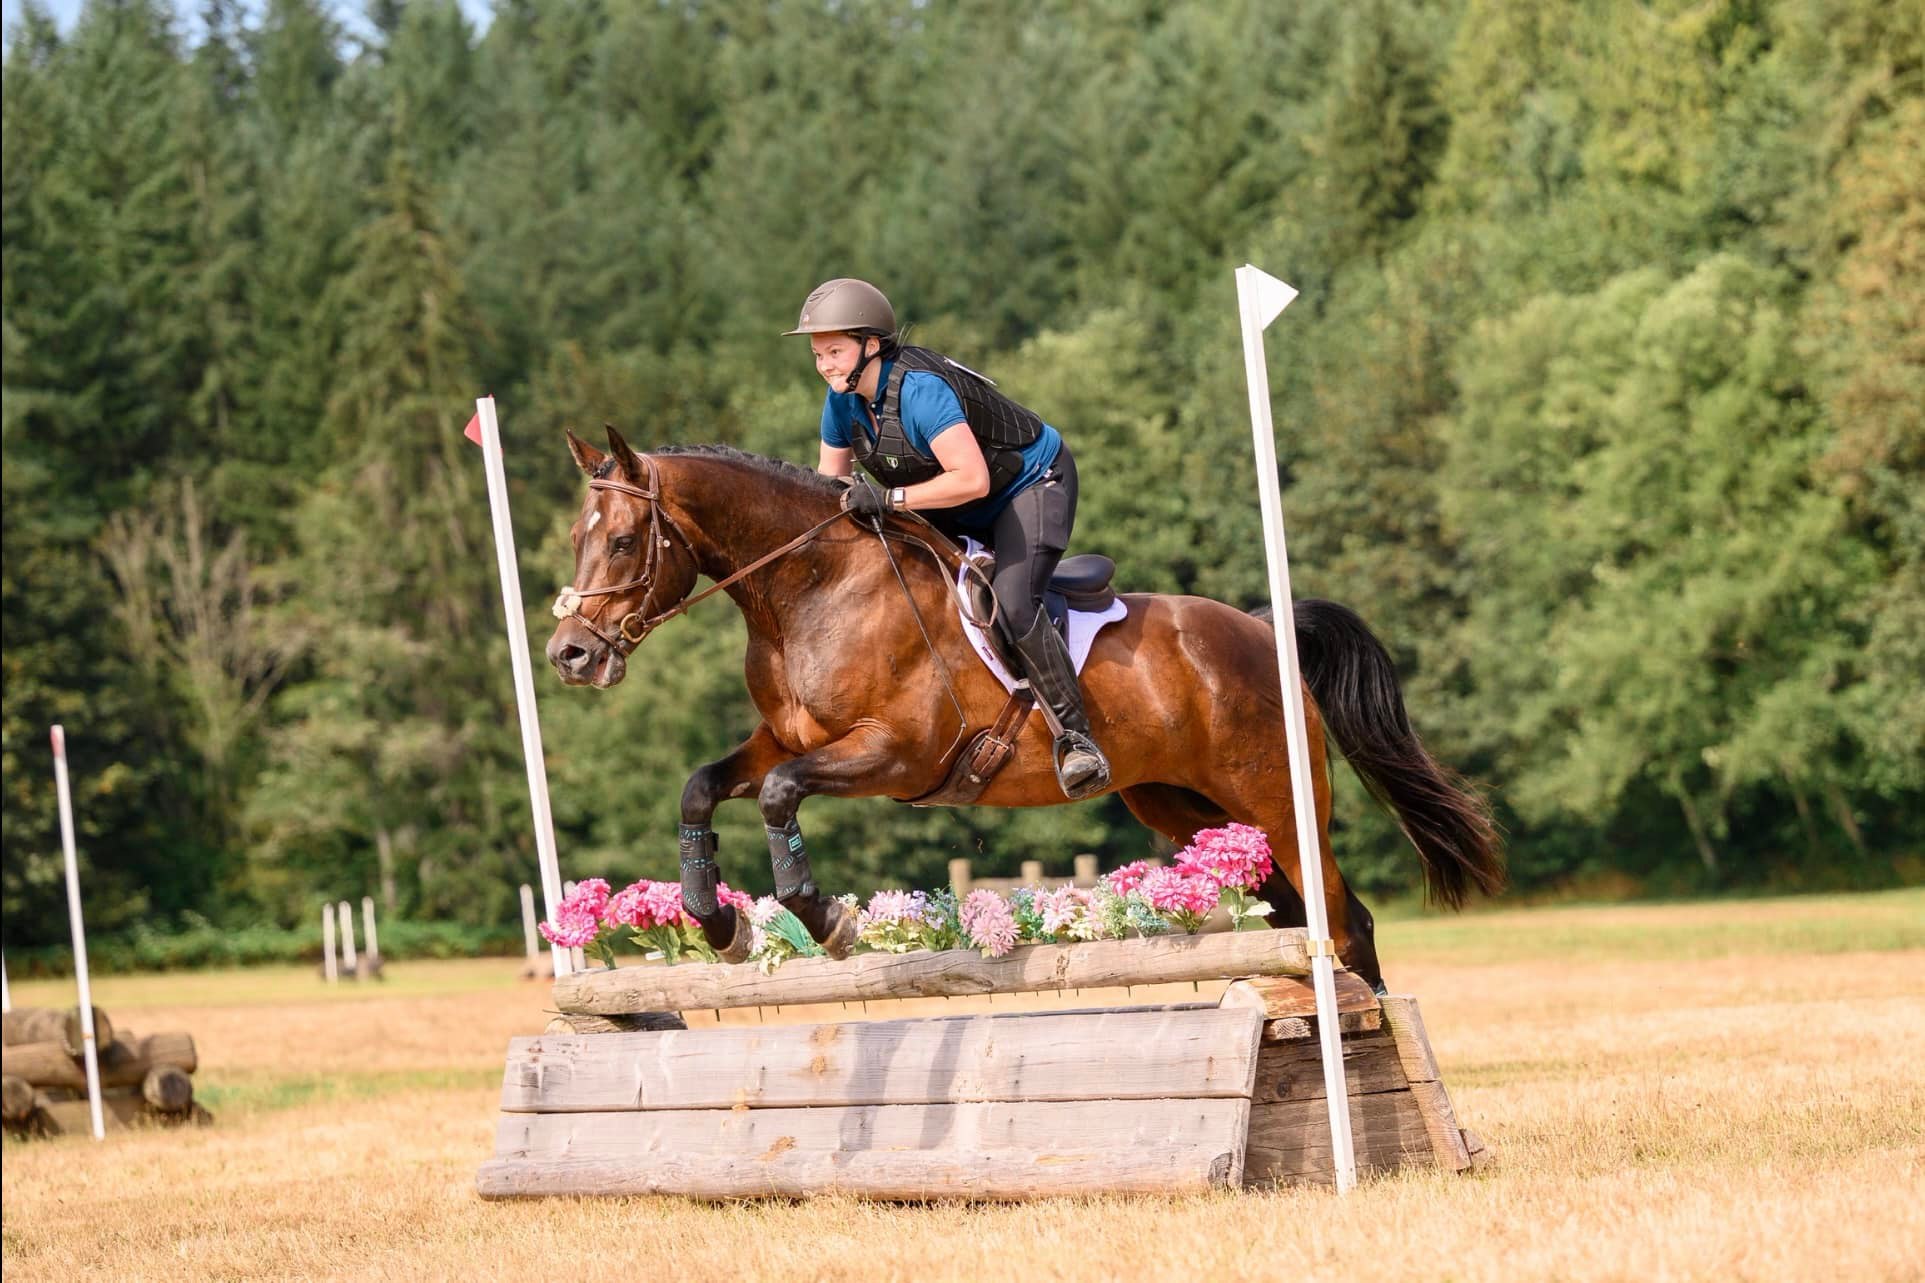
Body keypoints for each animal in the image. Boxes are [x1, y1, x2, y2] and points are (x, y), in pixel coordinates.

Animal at [542, 423, 1501, 982]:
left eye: (622, 540)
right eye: (578, 537)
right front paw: (720, 926)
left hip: (1276, 798)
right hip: (1187, 807)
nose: (568, 654)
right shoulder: (782, 738)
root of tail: (1261, 630)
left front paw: (828, 919)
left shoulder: (895, 752)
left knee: (1345, 920)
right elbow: (703, 786)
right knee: (1294, 915)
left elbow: (780, 797)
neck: (809, 588)